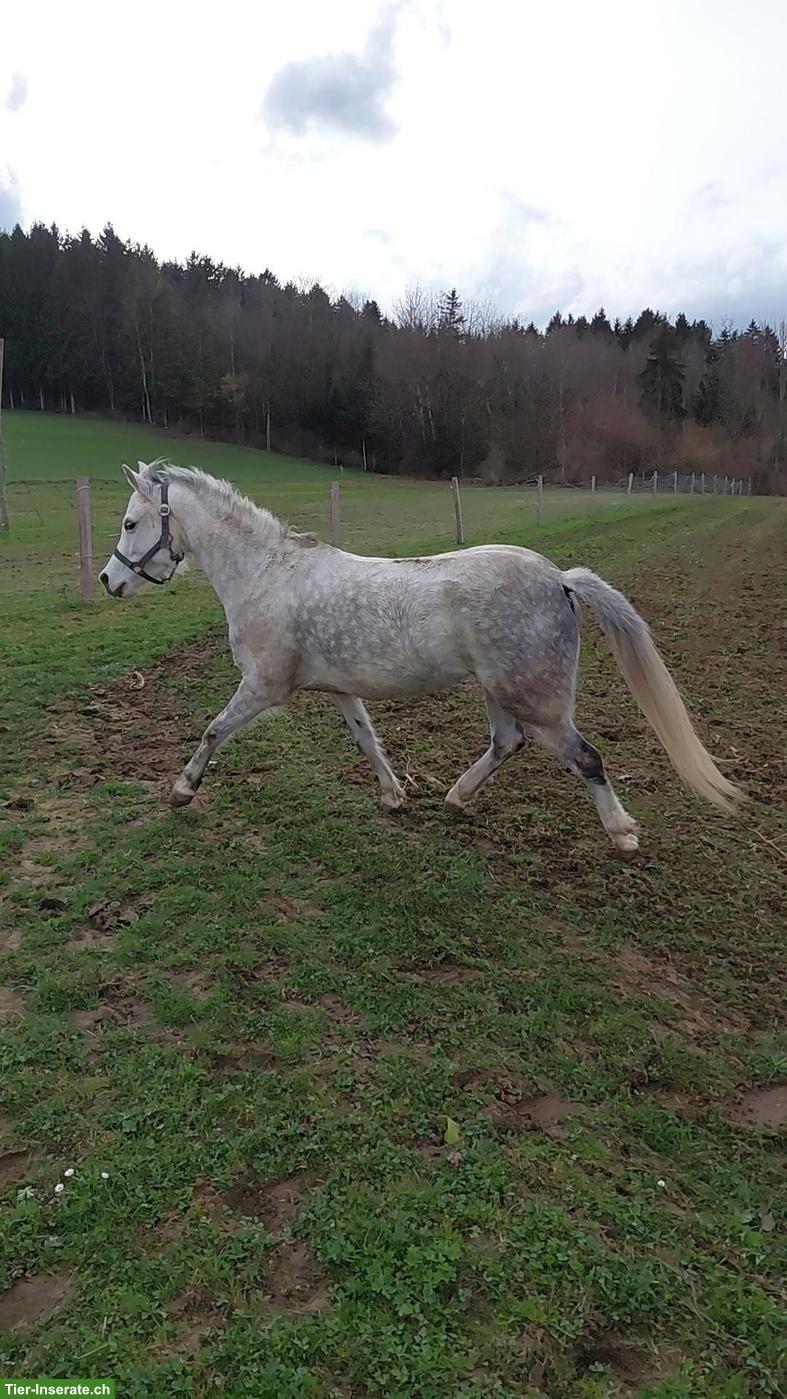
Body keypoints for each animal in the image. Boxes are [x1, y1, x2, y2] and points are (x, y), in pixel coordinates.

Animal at [99, 460, 742, 854]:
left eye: (130, 522)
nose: (108, 581)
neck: (266, 575)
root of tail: (560, 578)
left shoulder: (263, 686)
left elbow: (213, 730)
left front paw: (183, 789)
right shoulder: (341, 689)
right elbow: (367, 740)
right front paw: (394, 797)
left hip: (538, 701)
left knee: (586, 758)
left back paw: (623, 835)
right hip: (499, 692)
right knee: (506, 744)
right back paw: (455, 799)